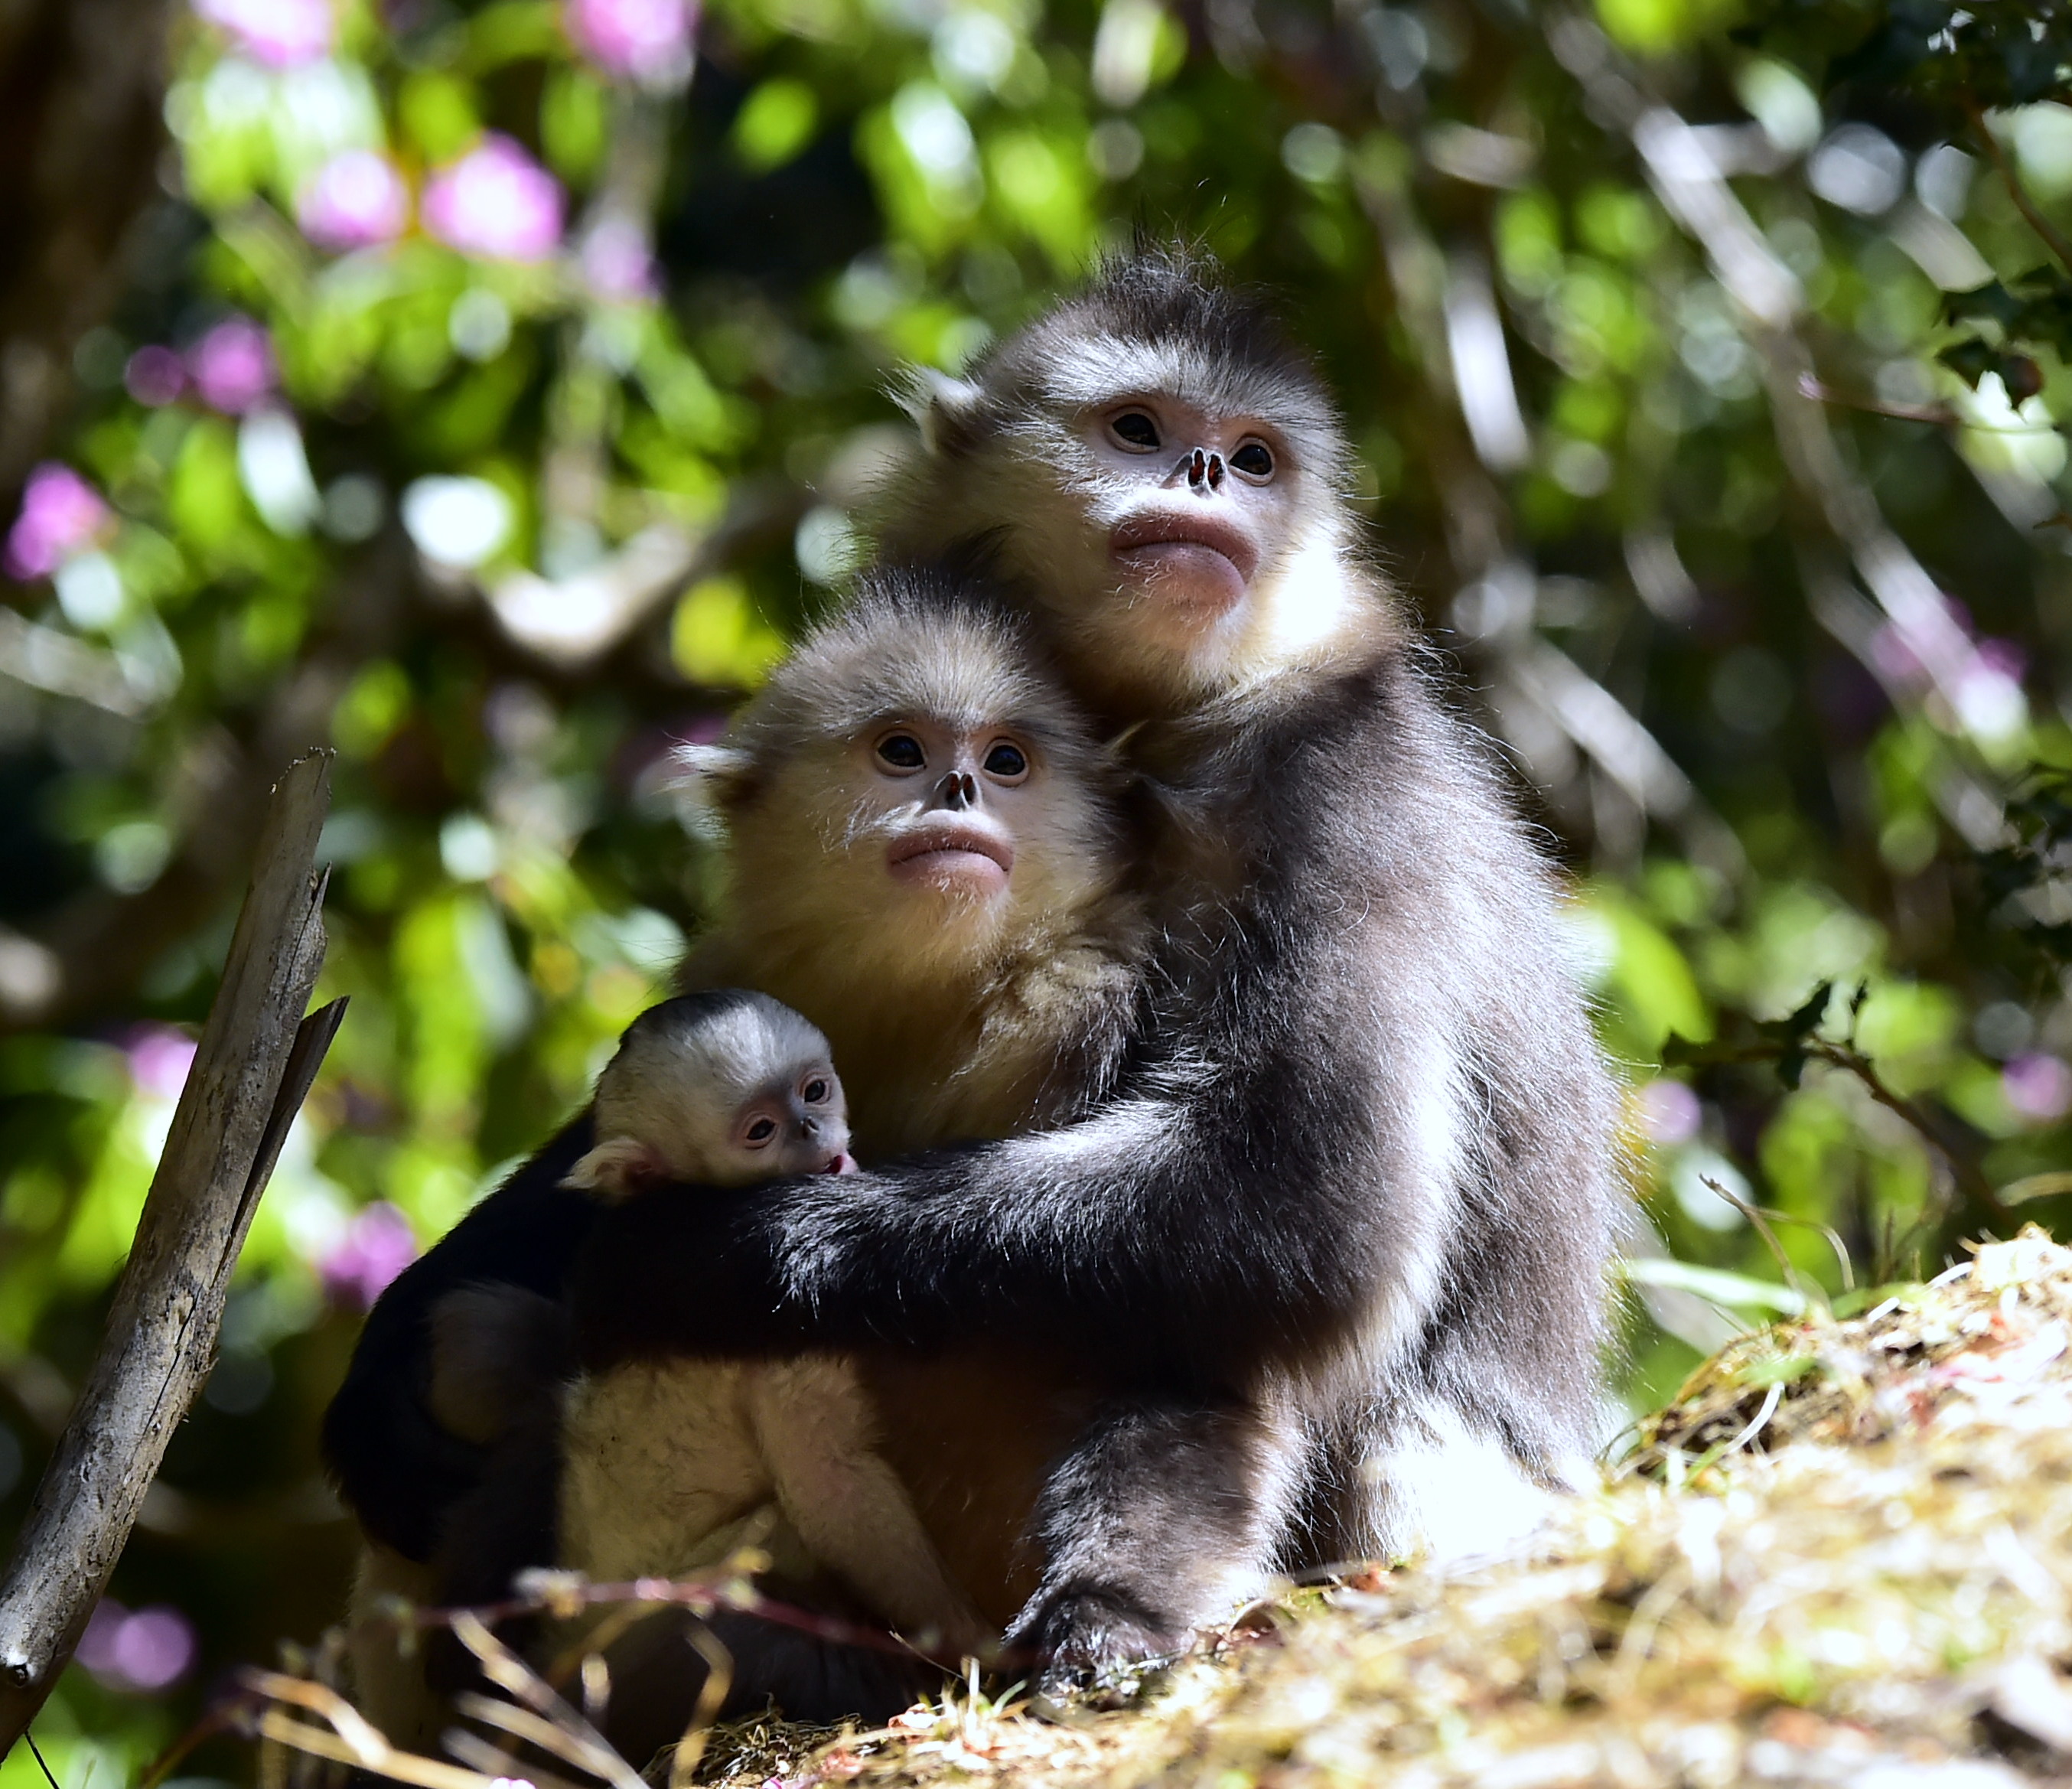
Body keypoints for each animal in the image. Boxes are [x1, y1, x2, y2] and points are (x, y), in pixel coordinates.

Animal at [323, 249, 1624, 1766]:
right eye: (1137, 427)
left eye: (1254, 457)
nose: (1202, 471)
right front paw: (388, 1350)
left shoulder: (1339, 786)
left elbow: (1310, 1201)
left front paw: (694, 1260)